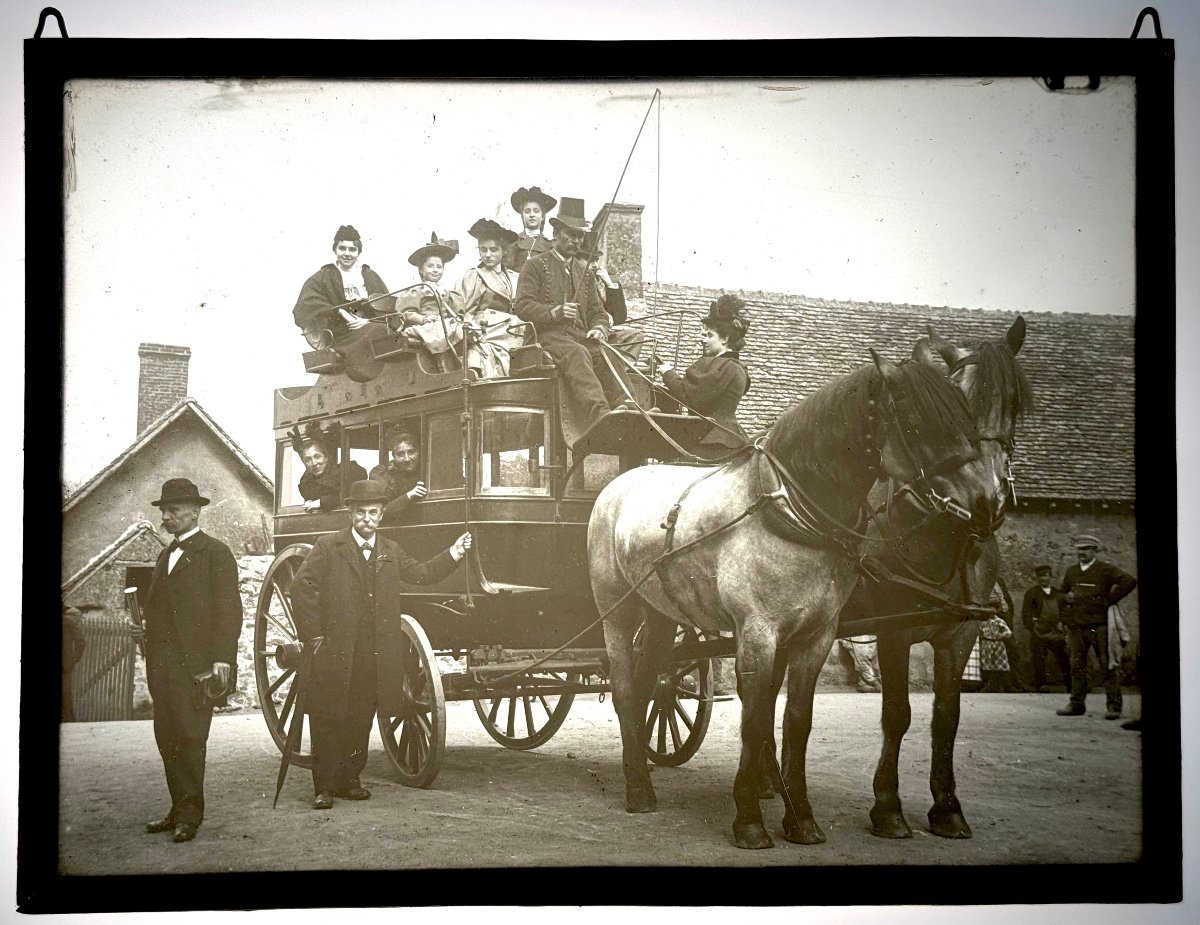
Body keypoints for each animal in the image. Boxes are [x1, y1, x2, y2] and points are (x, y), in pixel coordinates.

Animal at [583, 350, 1003, 849]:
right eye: (918, 421)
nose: (986, 504)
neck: (788, 512)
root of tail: (620, 481)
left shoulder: (820, 635)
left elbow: (798, 720)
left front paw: (801, 816)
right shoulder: (767, 632)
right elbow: (758, 718)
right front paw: (750, 819)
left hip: (662, 614)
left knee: (651, 684)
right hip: (618, 612)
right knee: (625, 687)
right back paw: (638, 788)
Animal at [844, 316, 1032, 839]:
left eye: (1014, 402)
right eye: (954, 404)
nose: (988, 500)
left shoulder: (962, 633)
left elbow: (946, 717)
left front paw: (947, 807)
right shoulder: (892, 630)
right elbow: (897, 713)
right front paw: (887, 807)